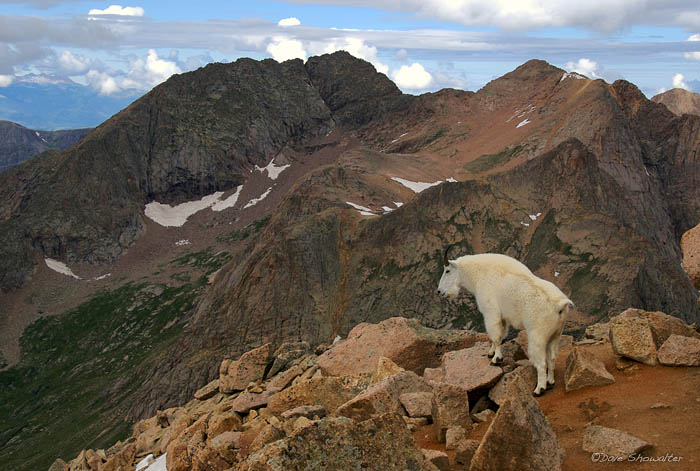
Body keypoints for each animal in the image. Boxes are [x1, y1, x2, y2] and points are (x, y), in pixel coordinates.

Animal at [438, 249, 576, 396]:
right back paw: (550, 382)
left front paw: (496, 359)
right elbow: (500, 335)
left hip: (537, 335)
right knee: (552, 357)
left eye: (447, 270)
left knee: (541, 362)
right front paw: (490, 353)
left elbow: (496, 336)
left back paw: (539, 389)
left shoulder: (491, 313)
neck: (479, 274)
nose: (439, 291)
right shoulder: (503, 318)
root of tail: (560, 305)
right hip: (556, 334)